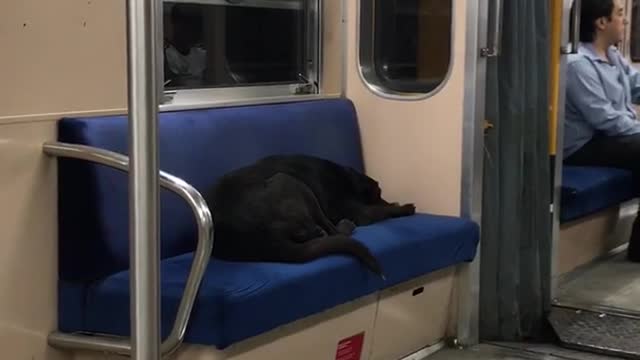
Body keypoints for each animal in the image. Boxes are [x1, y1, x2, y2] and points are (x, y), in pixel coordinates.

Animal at [204, 154, 416, 276]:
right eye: (378, 195)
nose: (389, 200)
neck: (345, 178)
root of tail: (259, 239)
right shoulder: (357, 210)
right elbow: (379, 211)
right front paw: (403, 207)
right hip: (291, 181)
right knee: (332, 232)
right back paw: (345, 226)